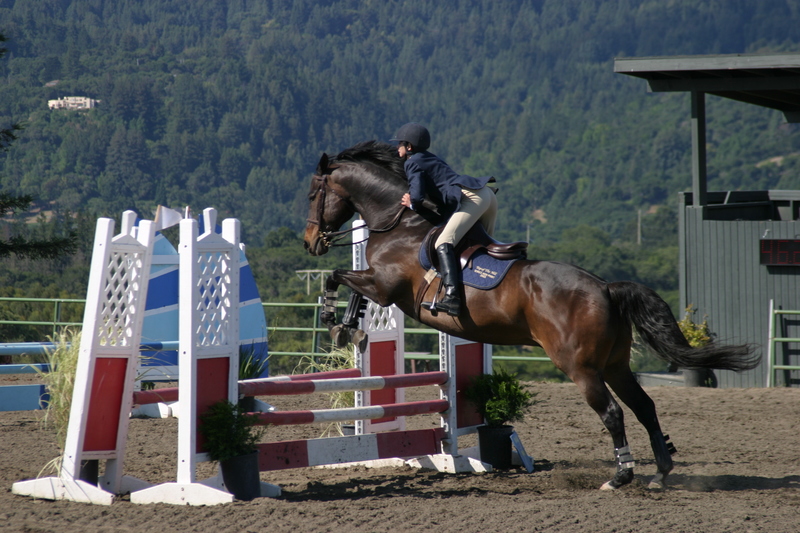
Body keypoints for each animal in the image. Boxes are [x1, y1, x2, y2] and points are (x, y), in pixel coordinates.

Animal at [302, 140, 759, 490]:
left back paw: (620, 476)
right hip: (615, 363)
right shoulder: (378, 285)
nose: (310, 243)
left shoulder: (385, 286)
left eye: (312, 194)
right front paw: (349, 328)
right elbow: (350, 289)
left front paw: (338, 324)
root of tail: (605, 288)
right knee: (643, 406)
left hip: (580, 367)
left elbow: (338, 279)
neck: (398, 221)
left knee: (612, 413)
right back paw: (661, 473)